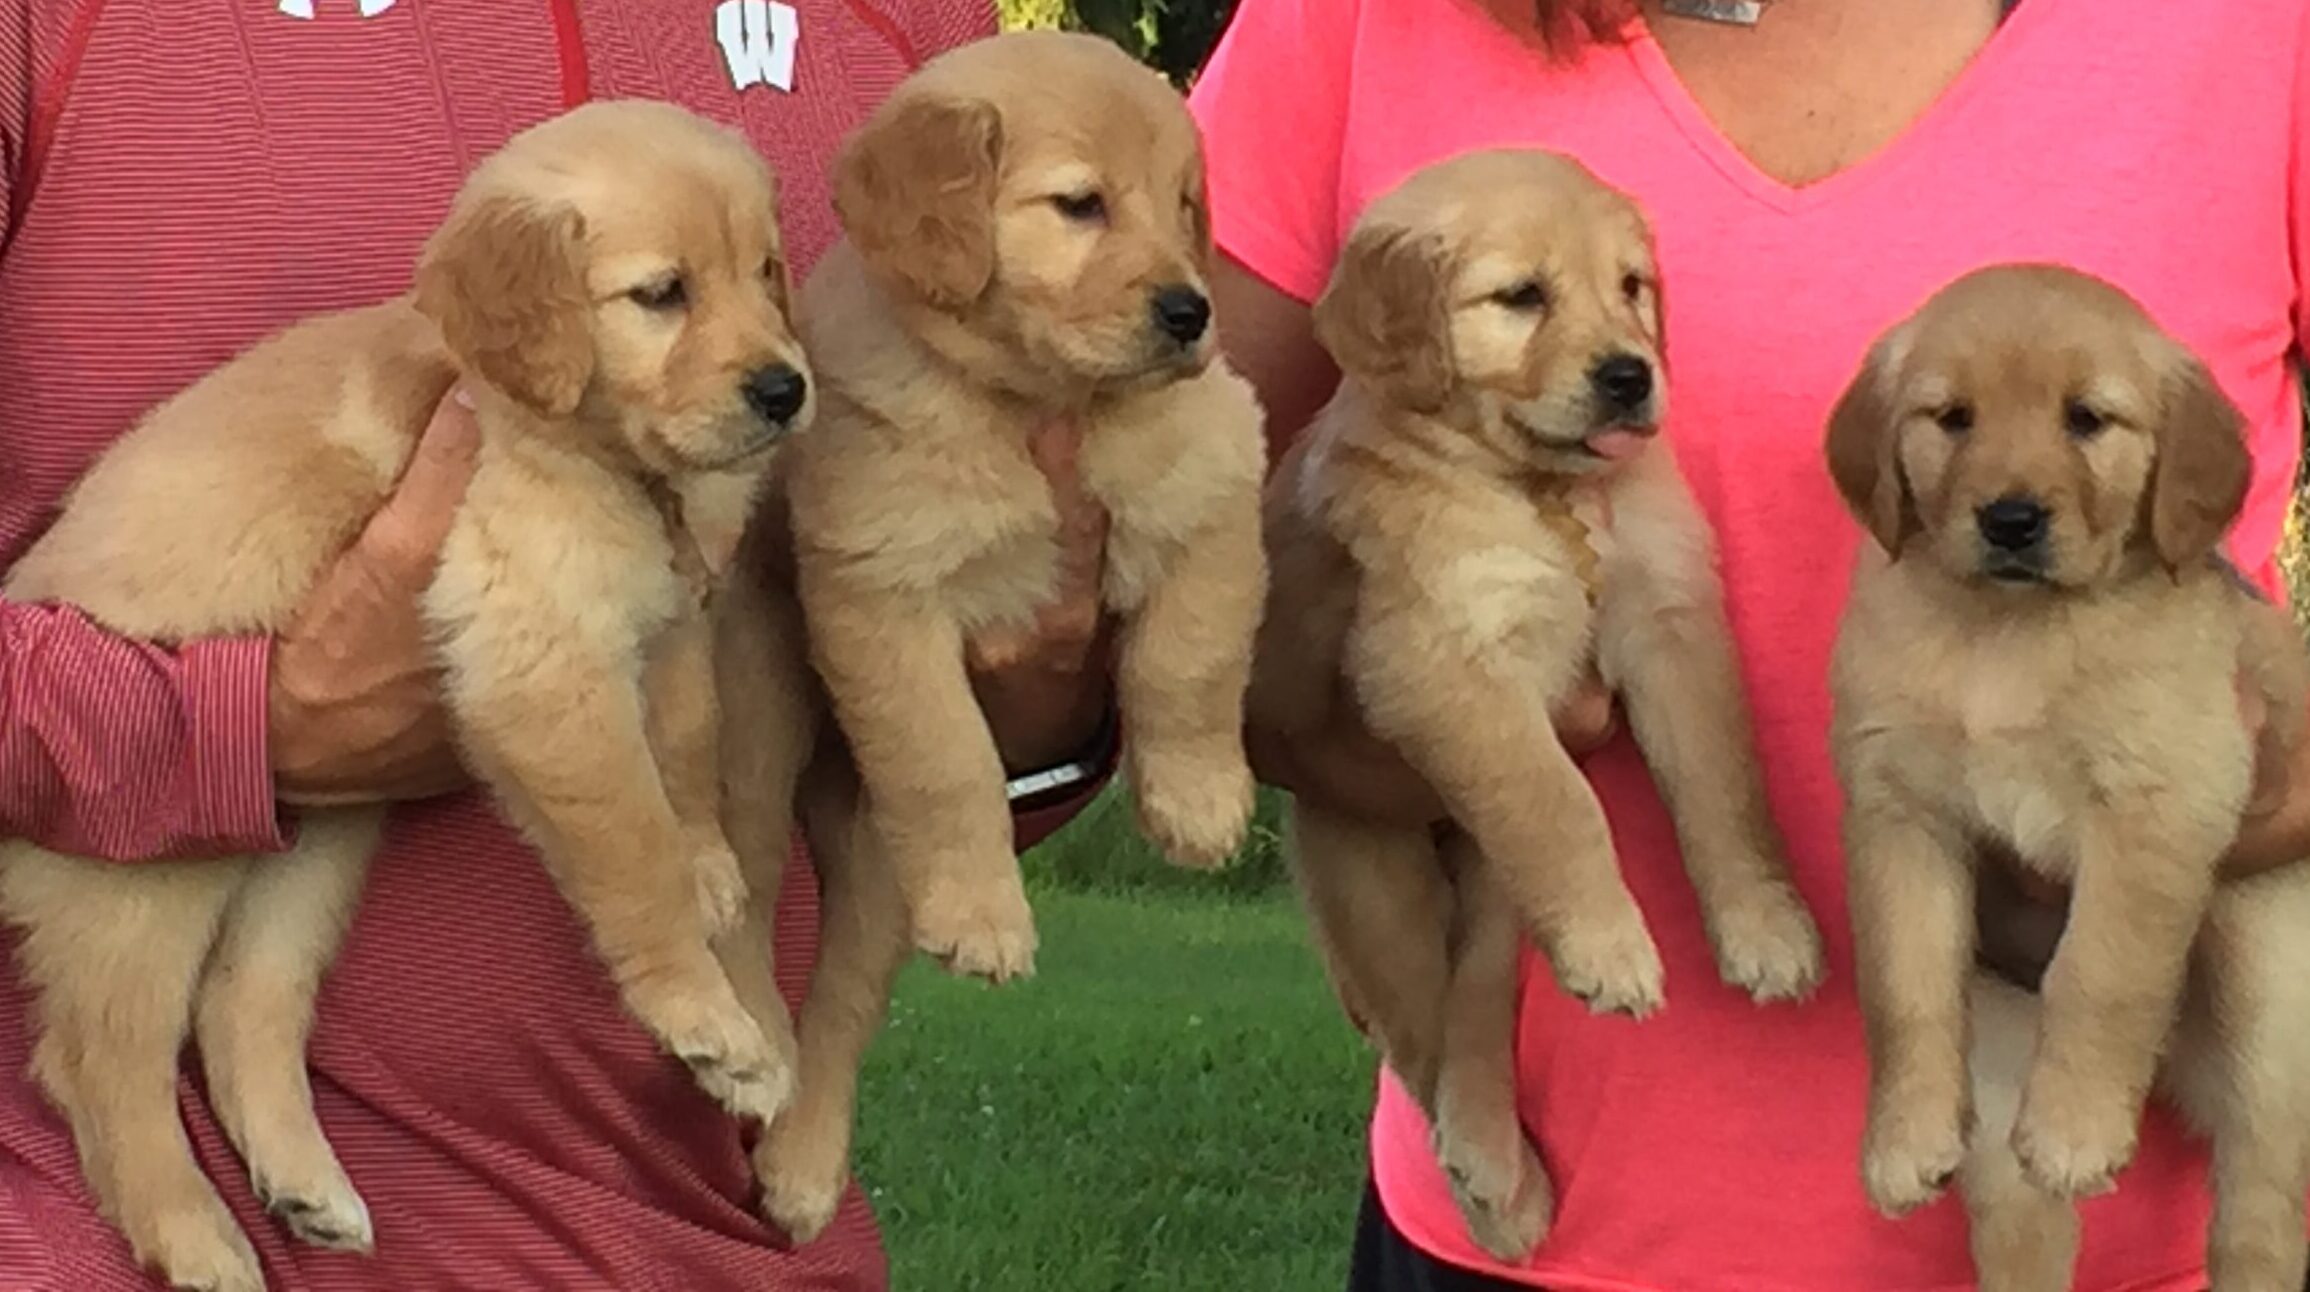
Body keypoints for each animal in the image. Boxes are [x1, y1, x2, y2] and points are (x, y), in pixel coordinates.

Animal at [0, 103, 813, 1292]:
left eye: (765, 273)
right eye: (663, 293)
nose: (786, 389)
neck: (585, 449)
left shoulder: (662, 620)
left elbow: (689, 735)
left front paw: (711, 861)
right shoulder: (541, 662)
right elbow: (633, 848)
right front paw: (705, 1014)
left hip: (314, 848)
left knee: (244, 1001)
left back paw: (307, 1183)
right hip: (144, 871)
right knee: (100, 1060)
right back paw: (197, 1239)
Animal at [785, 27, 1275, 979]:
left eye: (1182, 204)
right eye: (1080, 205)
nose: (1191, 313)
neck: (1032, 404)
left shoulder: (1219, 469)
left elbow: (1188, 660)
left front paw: (1199, 800)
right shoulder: (880, 594)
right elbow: (946, 761)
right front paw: (978, 915)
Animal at [1256, 143, 1829, 1266]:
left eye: (1632, 288)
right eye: (1521, 297)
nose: (1631, 375)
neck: (1540, 492)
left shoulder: (1672, 625)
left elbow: (1723, 786)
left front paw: (1765, 927)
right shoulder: (1444, 663)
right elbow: (1558, 802)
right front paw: (1615, 945)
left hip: (1490, 892)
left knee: (1477, 1005)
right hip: (1375, 876)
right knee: (1425, 1038)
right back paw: (1492, 1176)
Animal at [1820, 265, 2310, 1292]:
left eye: (2087, 419)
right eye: (1952, 417)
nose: (2010, 519)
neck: (2012, 633)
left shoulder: (2158, 805)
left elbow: (2102, 970)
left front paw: (2080, 1128)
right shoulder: (1897, 812)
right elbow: (1902, 982)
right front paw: (1901, 1139)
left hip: (2271, 994)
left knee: (2262, 1207)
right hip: (2006, 1068)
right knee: (2025, 1226)